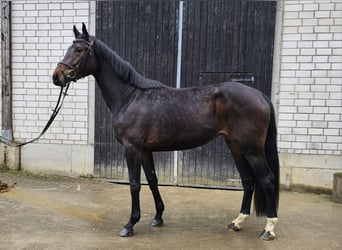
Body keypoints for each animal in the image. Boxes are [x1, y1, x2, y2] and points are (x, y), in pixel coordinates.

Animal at [52, 23, 280, 240]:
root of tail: (260, 95)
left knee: (267, 180)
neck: (130, 97)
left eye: (79, 49)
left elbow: (135, 184)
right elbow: (153, 181)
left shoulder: (132, 149)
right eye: (70, 48)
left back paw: (269, 229)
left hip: (252, 149)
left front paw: (130, 225)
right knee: (248, 180)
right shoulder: (145, 150)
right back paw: (237, 222)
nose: (57, 76)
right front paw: (158, 217)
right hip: (235, 146)